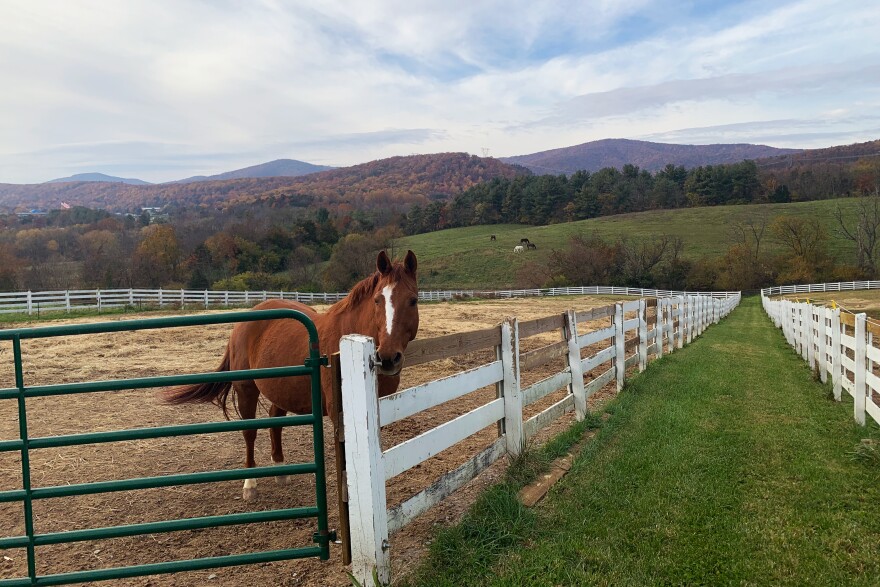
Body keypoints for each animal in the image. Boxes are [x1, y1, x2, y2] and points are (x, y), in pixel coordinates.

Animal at [165, 250, 420, 498]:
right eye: (378, 300)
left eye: (413, 300)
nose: (387, 357)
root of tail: (246, 319)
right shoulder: (339, 417)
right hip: (246, 389)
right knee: (249, 432)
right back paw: (250, 484)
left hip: (280, 389)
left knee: (274, 421)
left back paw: (280, 470)